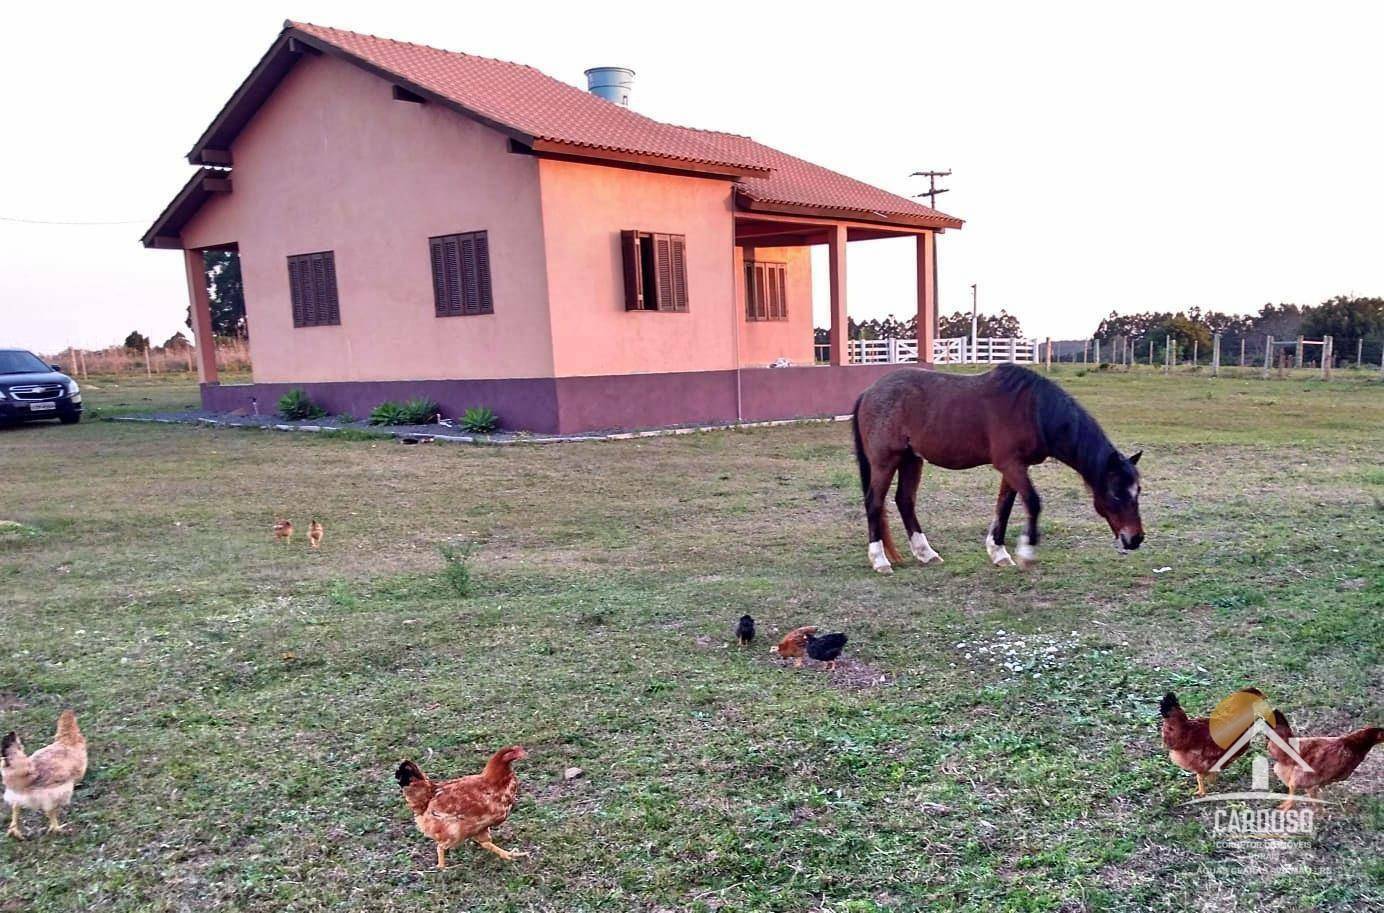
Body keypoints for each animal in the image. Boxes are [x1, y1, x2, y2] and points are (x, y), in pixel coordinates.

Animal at [852, 362, 1145, 569]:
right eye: (1115, 494)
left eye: (1137, 492)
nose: (1136, 538)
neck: (1032, 409)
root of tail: (868, 392)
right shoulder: (1011, 465)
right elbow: (1033, 503)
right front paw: (1026, 553)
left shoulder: (1014, 468)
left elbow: (1004, 506)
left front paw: (999, 552)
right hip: (885, 461)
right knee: (874, 502)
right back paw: (879, 560)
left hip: (912, 459)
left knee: (904, 500)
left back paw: (926, 553)